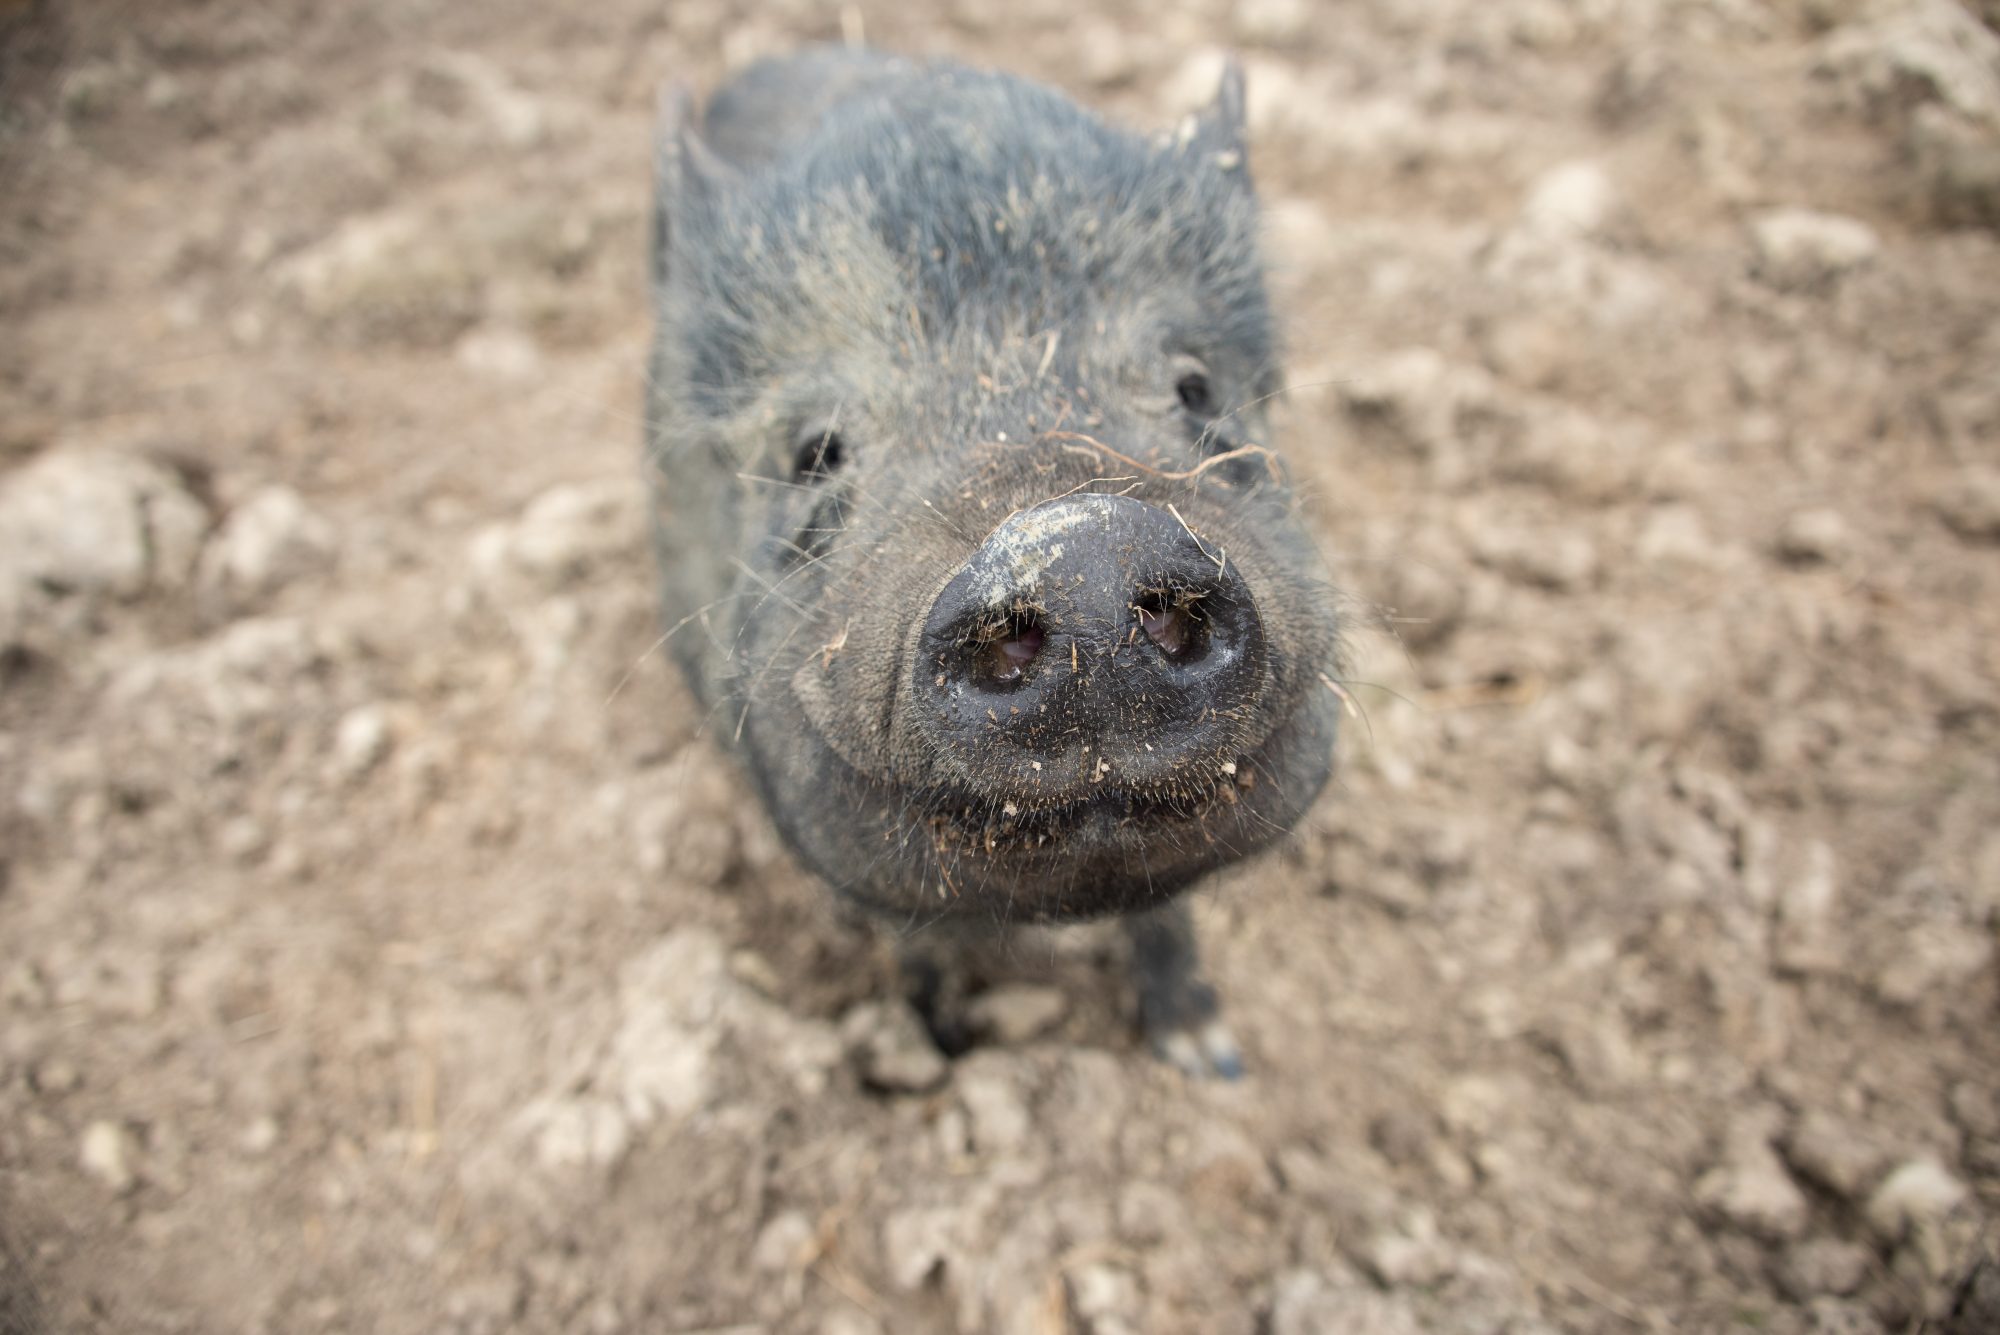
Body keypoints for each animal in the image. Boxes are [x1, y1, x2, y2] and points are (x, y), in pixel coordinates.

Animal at [648, 46, 1344, 1079]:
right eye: (815, 451)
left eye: (1194, 386)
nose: (1082, 545)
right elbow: (912, 935)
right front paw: (938, 1049)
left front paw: (1209, 1057)